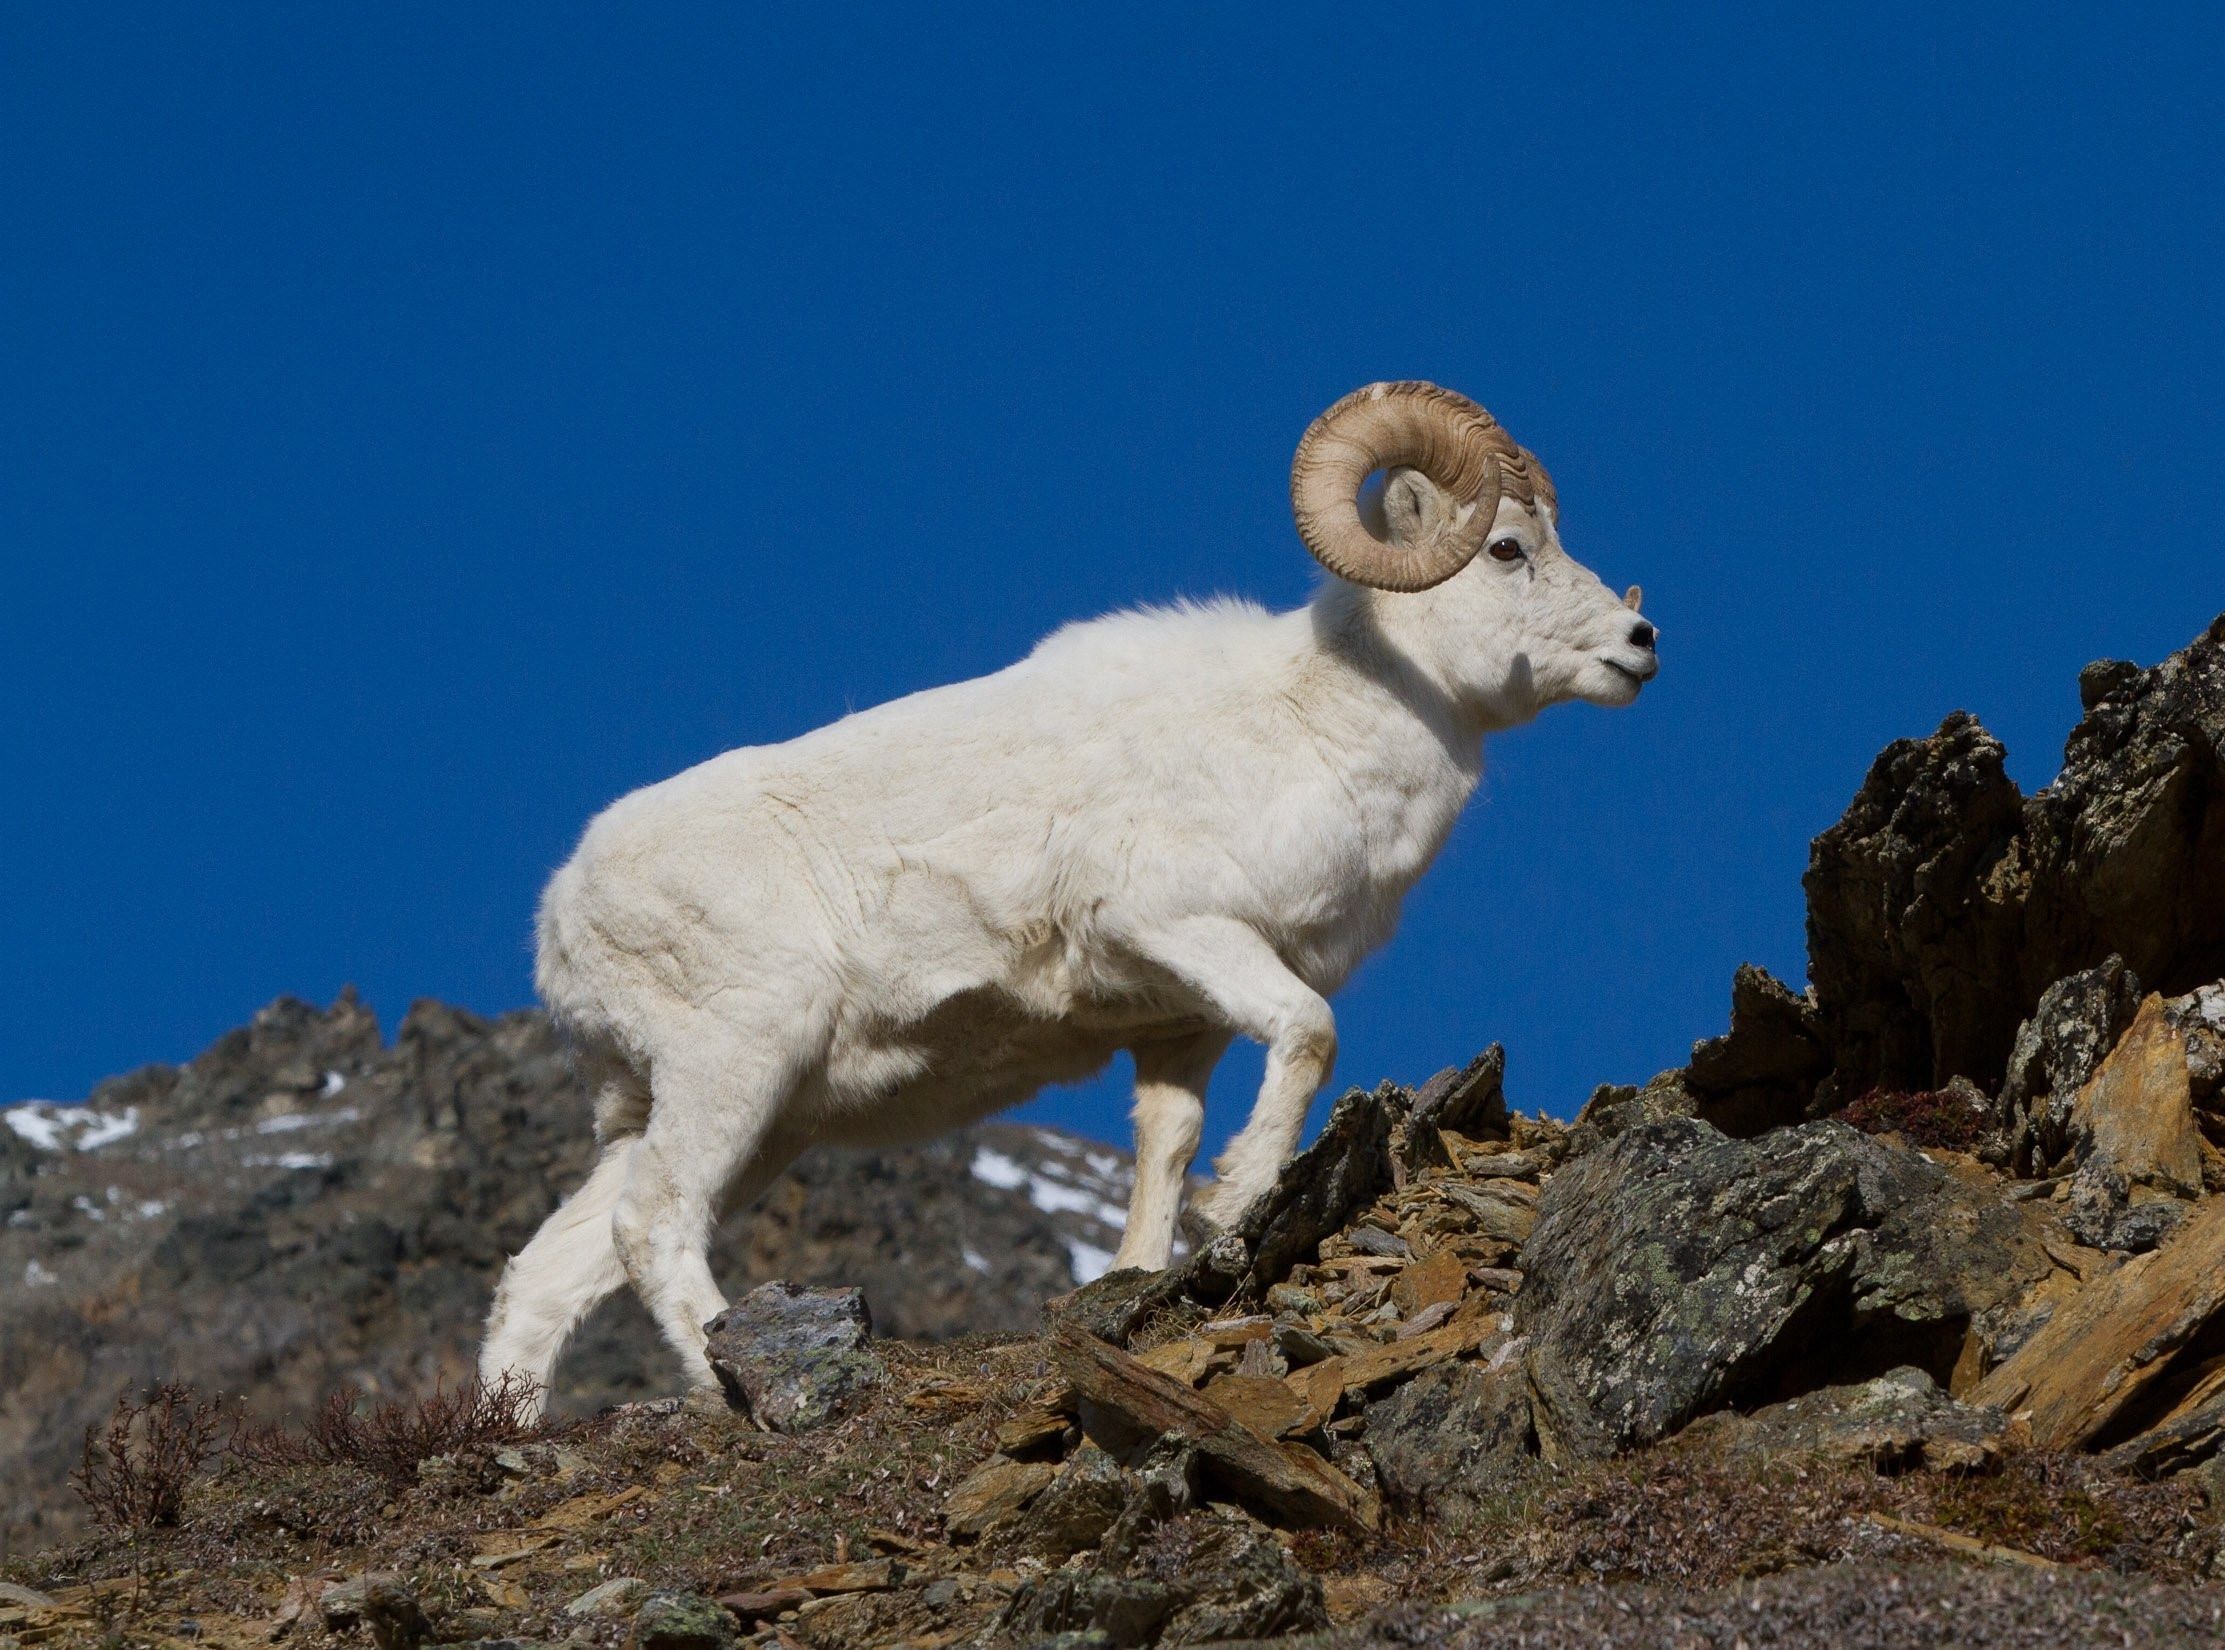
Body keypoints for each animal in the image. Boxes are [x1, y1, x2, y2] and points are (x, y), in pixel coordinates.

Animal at [482, 384, 1655, 1405]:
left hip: (731, 1113)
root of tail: (560, 915)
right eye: (1506, 549)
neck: (1314, 726)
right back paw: (729, 1393)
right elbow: (1310, 1035)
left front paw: (1144, 1269)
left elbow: (1163, 1150)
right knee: (656, 1225)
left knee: (550, 1274)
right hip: (733, 1067)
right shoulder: (1181, 929)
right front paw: (1240, 1196)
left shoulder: (1181, 1027)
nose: (1640, 644)